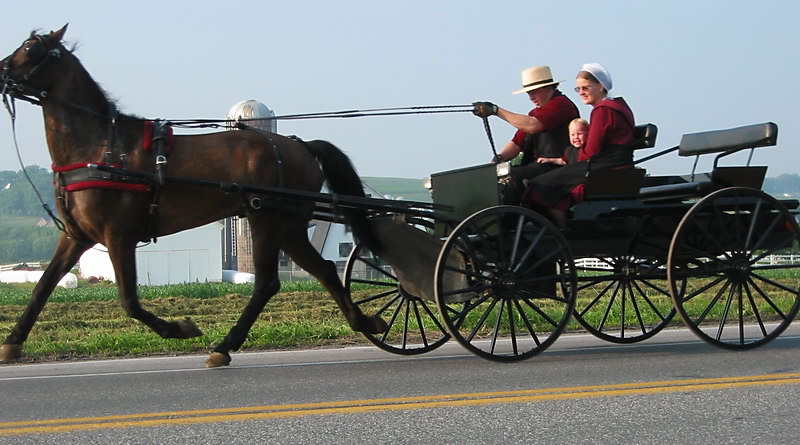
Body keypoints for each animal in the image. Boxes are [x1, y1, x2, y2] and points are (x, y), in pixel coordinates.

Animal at [0, 24, 388, 366]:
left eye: (30, 48)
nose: (1, 71)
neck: (102, 149)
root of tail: (300, 145)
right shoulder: (76, 235)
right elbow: (43, 286)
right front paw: (12, 343)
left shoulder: (119, 234)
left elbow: (129, 300)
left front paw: (180, 328)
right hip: (288, 224)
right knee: (323, 270)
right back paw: (365, 321)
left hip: (267, 218)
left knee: (267, 282)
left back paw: (225, 346)